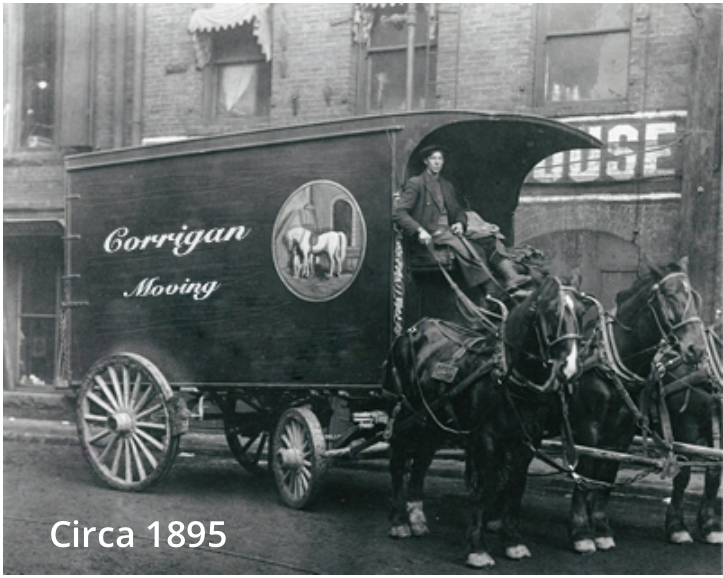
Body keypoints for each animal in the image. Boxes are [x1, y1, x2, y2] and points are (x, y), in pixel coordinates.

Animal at [382, 276, 584, 568]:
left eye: (582, 313)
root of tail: (410, 331)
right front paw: (477, 548)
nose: (571, 370)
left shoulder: (526, 442)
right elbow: (482, 488)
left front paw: (513, 542)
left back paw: (417, 517)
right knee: (398, 463)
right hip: (403, 415)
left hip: (432, 423)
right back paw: (399, 521)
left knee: (420, 464)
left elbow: (515, 487)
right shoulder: (484, 439)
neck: (506, 376)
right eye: (552, 312)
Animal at [568, 258, 708, 552]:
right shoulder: (588, 430)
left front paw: (601, 528)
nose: (696, 350)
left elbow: (607, 477)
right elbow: (585, 475)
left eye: (694, 296)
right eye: (669, 295)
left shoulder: (619, 435)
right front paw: (581, 532)